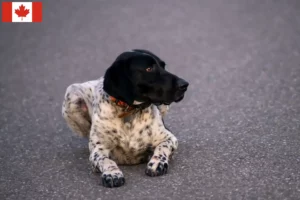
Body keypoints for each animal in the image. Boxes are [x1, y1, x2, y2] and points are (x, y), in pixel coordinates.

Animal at [61, 48, 189, 188]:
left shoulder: (169, 138)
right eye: (149, 69)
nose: (184, 85)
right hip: (72, 94)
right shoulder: (98, 150)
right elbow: (106, 160)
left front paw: (157, 162)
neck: (129, 111)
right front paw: (112, 173)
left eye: (163, 66)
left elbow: (162, 147)